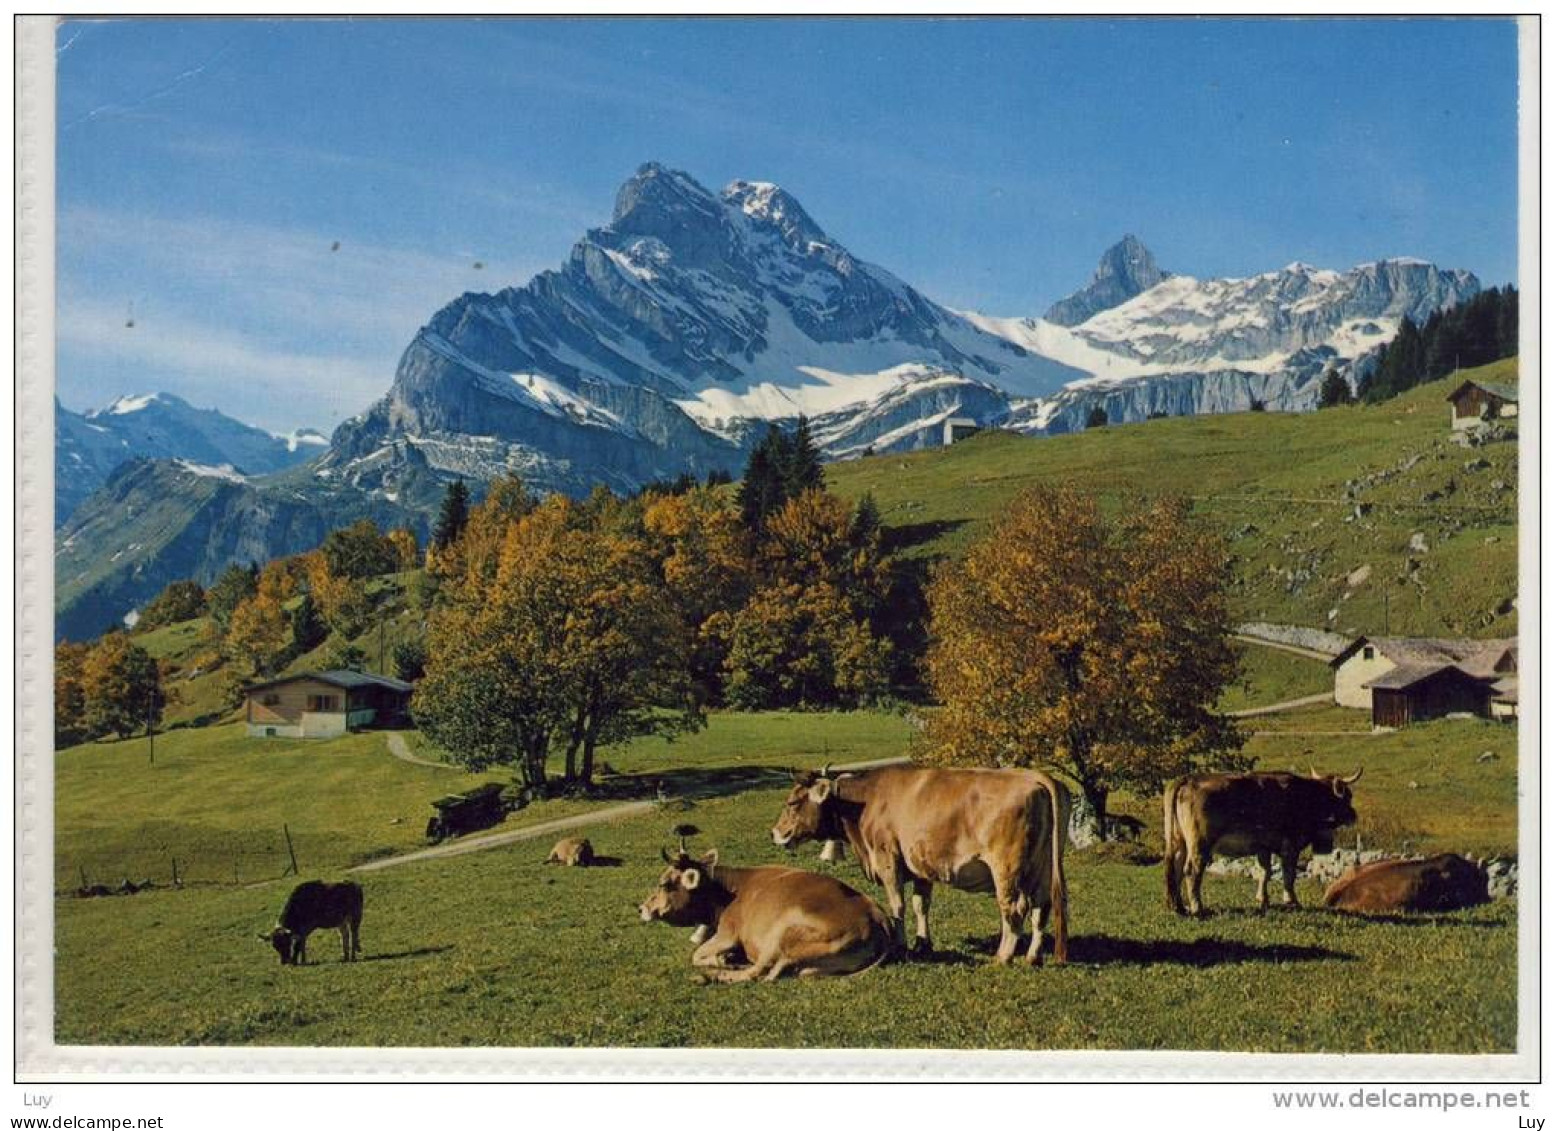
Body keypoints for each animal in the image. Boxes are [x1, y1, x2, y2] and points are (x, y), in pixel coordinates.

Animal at [634, 846, 901, 983]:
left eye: (664, 884)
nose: (641, 908)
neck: (728, 893)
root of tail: (876, 915)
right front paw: (727, 958)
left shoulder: (728, 933)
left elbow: (697, 954)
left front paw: (721, 960)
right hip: (812, 965)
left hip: (781, 936)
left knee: (760, 972)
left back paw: (711, 975)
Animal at [768, 762, 1069, 964]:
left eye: (792, 802)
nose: (775, 833)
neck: (867, 801)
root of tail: (1034, 777)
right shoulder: (922, 867)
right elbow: (920, 905)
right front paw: (923, 944)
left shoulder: (887, 860)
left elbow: (898, 905)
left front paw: (900, 946)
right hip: (1042, 868)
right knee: (1041, 907)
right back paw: (1033, 956)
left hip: (1006, 869)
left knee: (1014, 909)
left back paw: (1004, 955)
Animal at [1169, 768, 1362, 920]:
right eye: (1348, 796)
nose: (1354, 815)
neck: (1305, 797)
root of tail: (1190, 779)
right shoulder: (1290, 846)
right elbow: (1289, 875)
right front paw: (1292, 901)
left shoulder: (1263, 848)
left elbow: (1264, 872)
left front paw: (1263, 900)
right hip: (1200, 844)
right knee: (1191, 871)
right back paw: (1197, 908)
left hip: (1180, 842)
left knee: (1176, 868)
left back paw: (1179, 907)